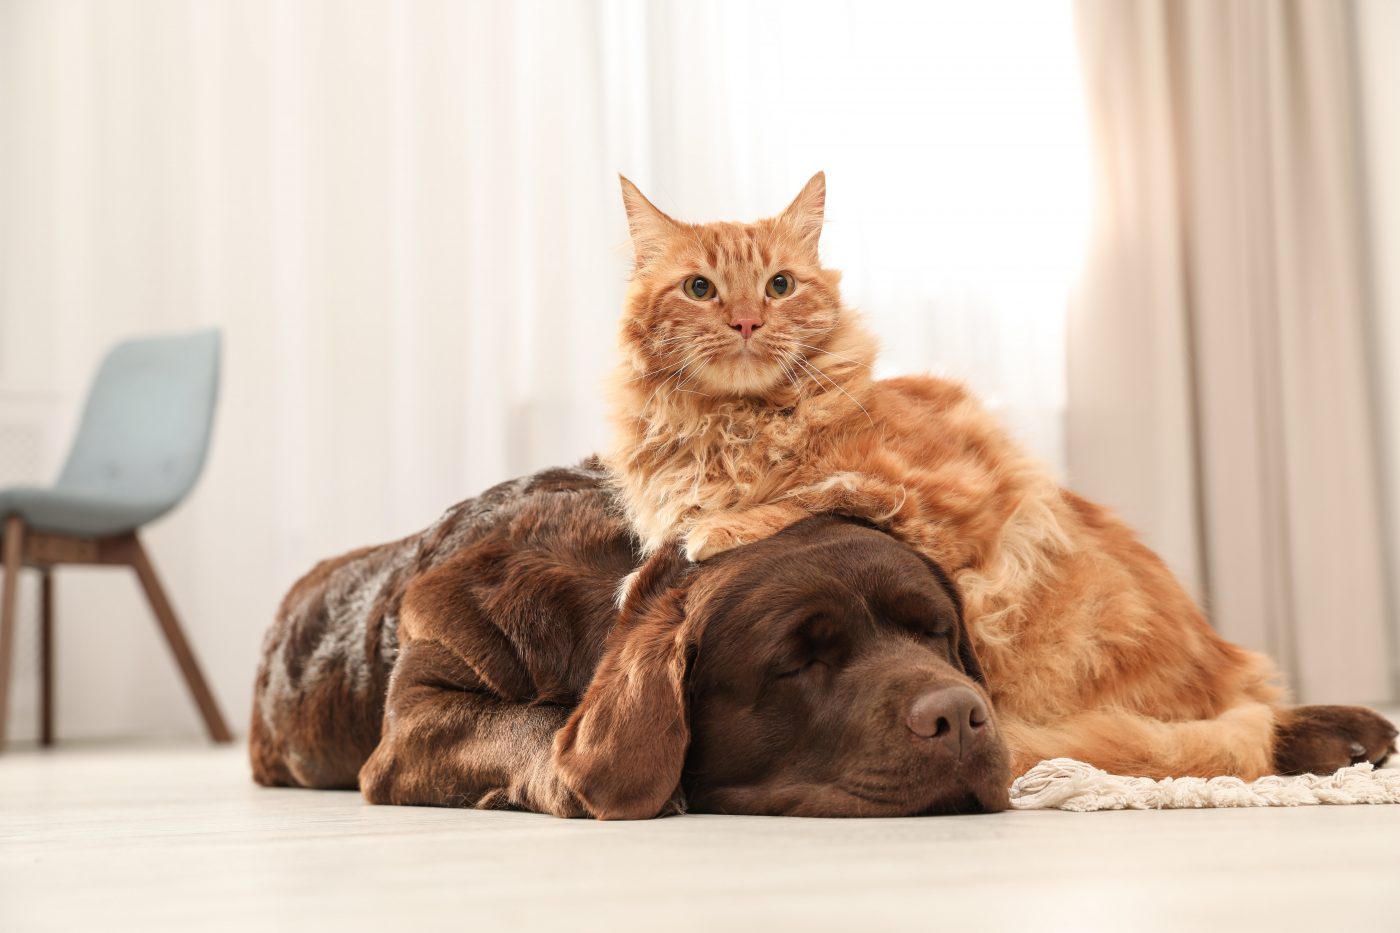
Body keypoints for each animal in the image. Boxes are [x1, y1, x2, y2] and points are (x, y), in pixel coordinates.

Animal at [607, 172, 1394, 778]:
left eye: (779, 286)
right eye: (700, 288)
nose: (745, 322)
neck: (731, 426)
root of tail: (1232, 673)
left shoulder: (954, 497)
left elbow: (806, 492)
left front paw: (712, 527)